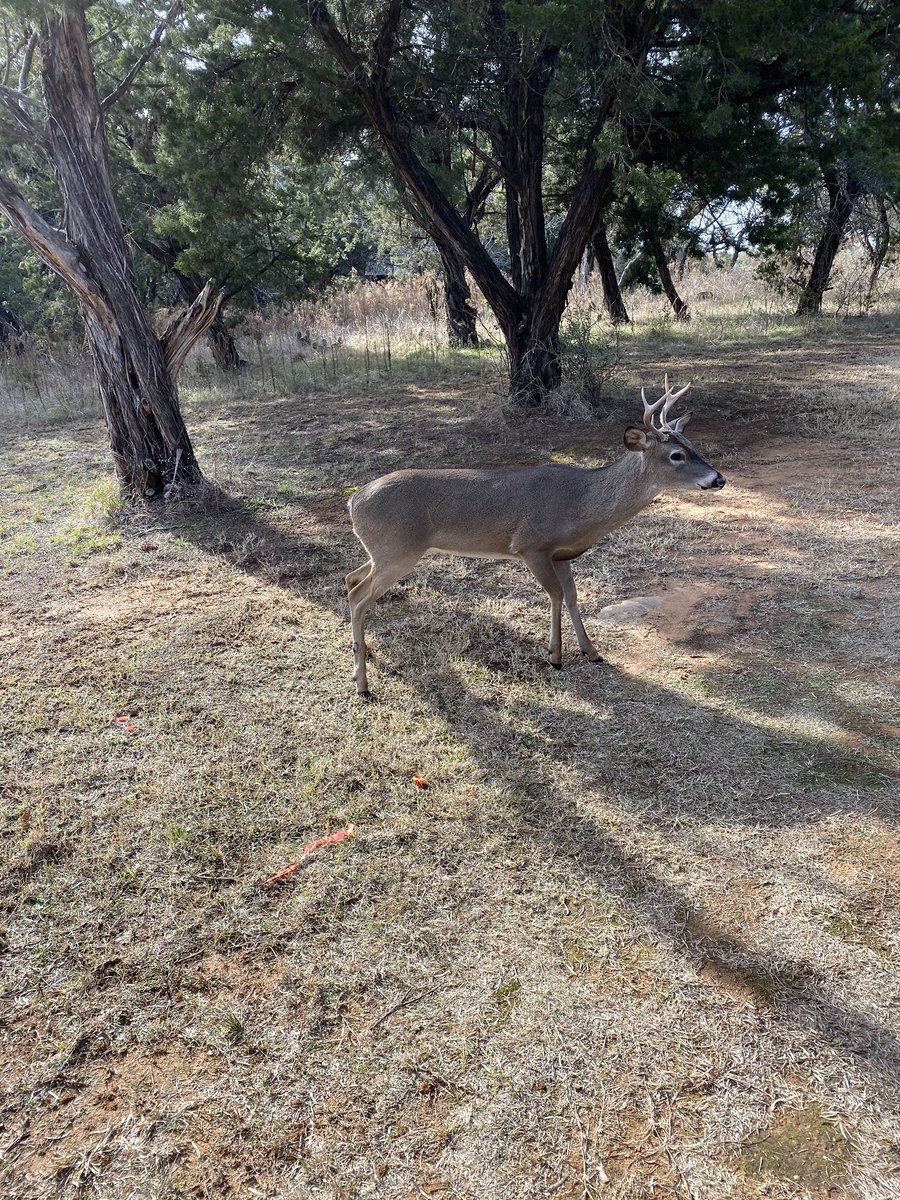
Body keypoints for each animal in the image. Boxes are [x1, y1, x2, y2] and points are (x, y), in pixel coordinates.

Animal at [345, 378, 725, 697]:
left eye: (693, 445)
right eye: (676, 455)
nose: (718, 479)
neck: (582, 505)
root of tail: (353, 500)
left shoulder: (562, 555)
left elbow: (572, 596)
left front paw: (592, 652)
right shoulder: (532, 545)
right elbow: (555, 595)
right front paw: (555, 656)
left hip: (383, 551)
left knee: (351, 580)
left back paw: (364, 655)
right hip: (398, 550)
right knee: (360, 596)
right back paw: (363, 685)